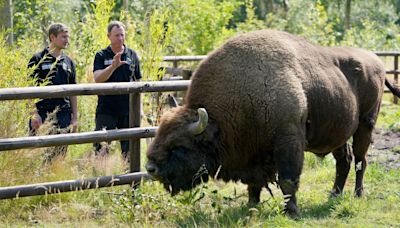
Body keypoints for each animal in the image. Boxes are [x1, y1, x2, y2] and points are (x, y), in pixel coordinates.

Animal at [145, 29, 398, 217]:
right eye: (159, 137)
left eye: (180, 147)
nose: (150, 169)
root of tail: (376, 61)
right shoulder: (253, 154)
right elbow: (254, 183)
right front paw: (251, 206)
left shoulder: (288, 141)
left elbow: (288, 180)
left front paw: (291, 212)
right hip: (338, 132)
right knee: (344, 161)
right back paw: (334, 194)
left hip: (366, 124)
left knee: (360, 160)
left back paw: (357, 194)